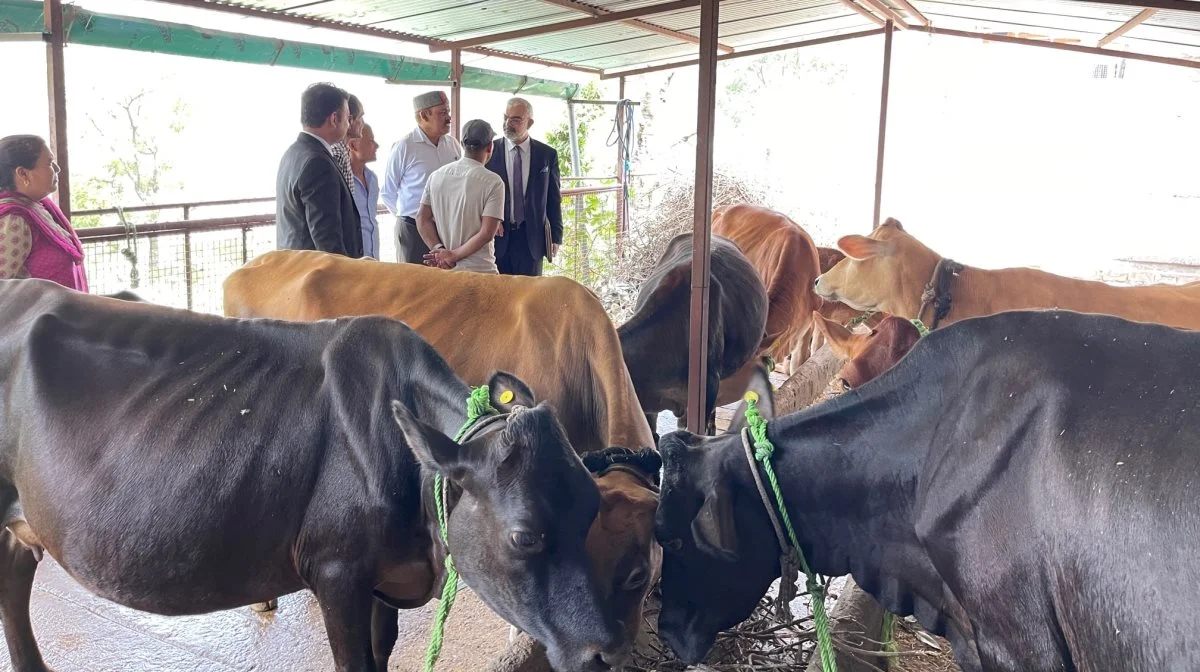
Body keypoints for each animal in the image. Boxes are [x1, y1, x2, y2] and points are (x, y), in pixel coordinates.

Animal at [2, 278, 628, 672]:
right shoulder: (336, 571)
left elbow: (382, 651)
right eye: (525, 536)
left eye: (592, 510)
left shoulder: (383, 576)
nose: (606, 653)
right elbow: (354, 662)